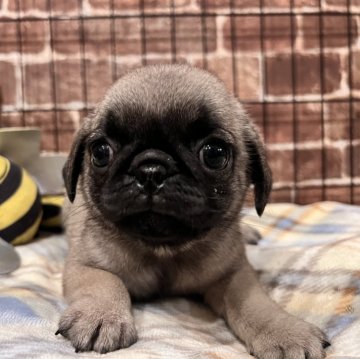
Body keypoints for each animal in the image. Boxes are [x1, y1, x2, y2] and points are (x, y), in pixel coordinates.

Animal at [57, 63, 330, 358]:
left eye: (214, 154)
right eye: (100, 152)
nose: (151, 170)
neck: (164, 252)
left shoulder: (234, 274)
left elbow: (254, 302)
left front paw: (285, 331)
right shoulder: (84, 264)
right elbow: (105, 282)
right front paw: (100, 316)